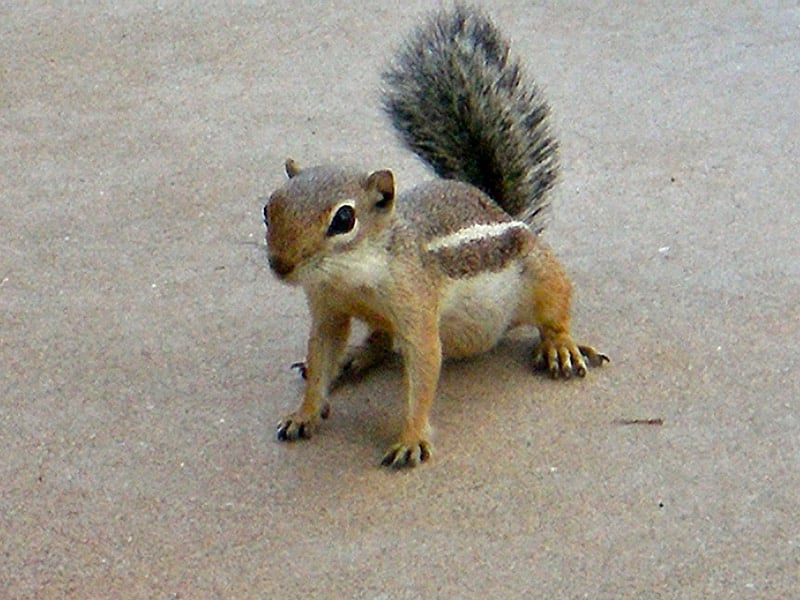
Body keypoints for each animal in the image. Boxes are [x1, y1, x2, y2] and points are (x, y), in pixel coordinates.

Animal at [263, 4, 608, 468]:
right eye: (268, 209)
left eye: (343, 219)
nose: (280, 265)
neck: (351, 276)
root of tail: (497, 206)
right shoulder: (329, 309)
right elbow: (320, 357)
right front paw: (304, 412)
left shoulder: (416, 306)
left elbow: (423, 369)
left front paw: (410, 438)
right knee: (379, 339)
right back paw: (356, 357)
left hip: (540, 271)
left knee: (555, 310)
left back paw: (561, 346)